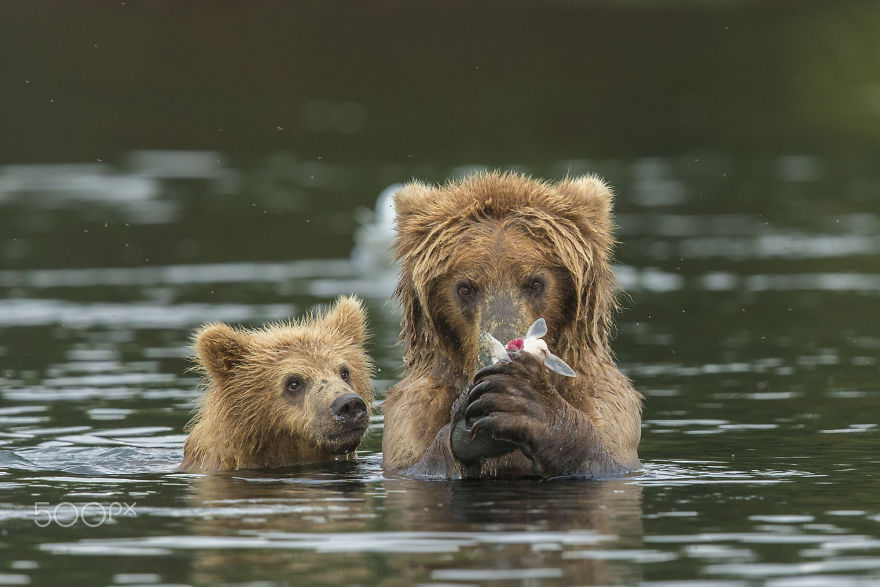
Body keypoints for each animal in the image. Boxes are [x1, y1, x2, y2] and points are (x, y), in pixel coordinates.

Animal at [381, 171, 643, 479]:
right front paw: (465, 429)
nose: (504, 350)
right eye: (465, 288)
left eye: (536, 282)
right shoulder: (409, 418)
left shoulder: (609, 408)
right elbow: (420, 464)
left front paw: (523, 399)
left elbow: (604, 460)